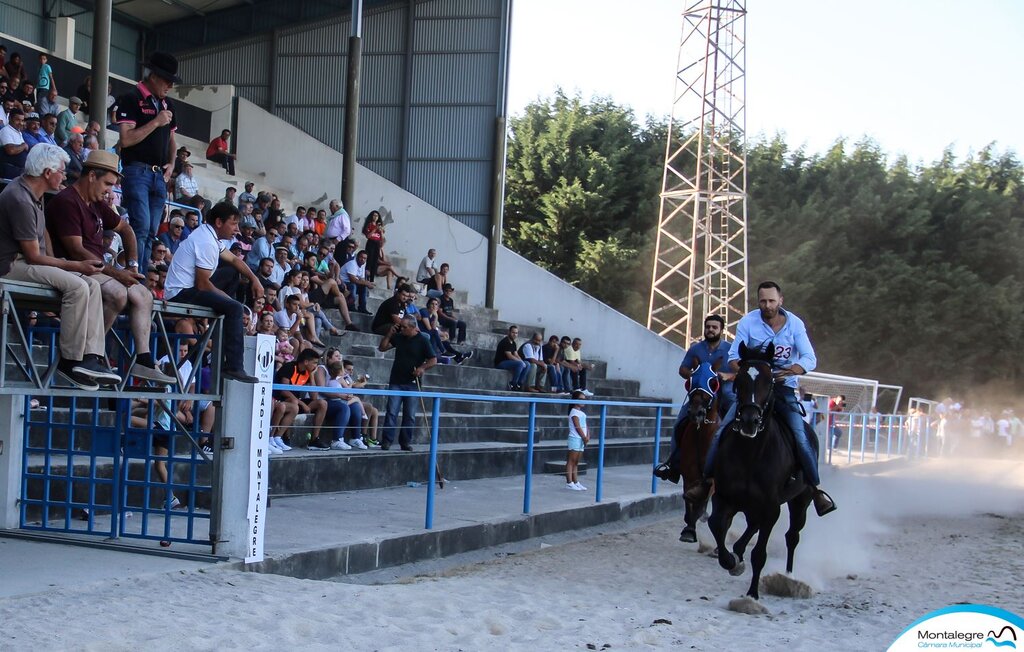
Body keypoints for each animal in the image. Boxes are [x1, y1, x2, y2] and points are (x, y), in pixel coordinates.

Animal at [708, 339, 811, 601]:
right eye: (740, 380)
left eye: (769, 381)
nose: (749, 421)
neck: (751, 455)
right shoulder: (724, 496)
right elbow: (716, 524)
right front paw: (732, 562)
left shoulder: (772, 508)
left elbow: (760, 554)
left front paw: (752, 593)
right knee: (752, 525)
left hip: (800, 501)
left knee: (792, 536)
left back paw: (788, 576)